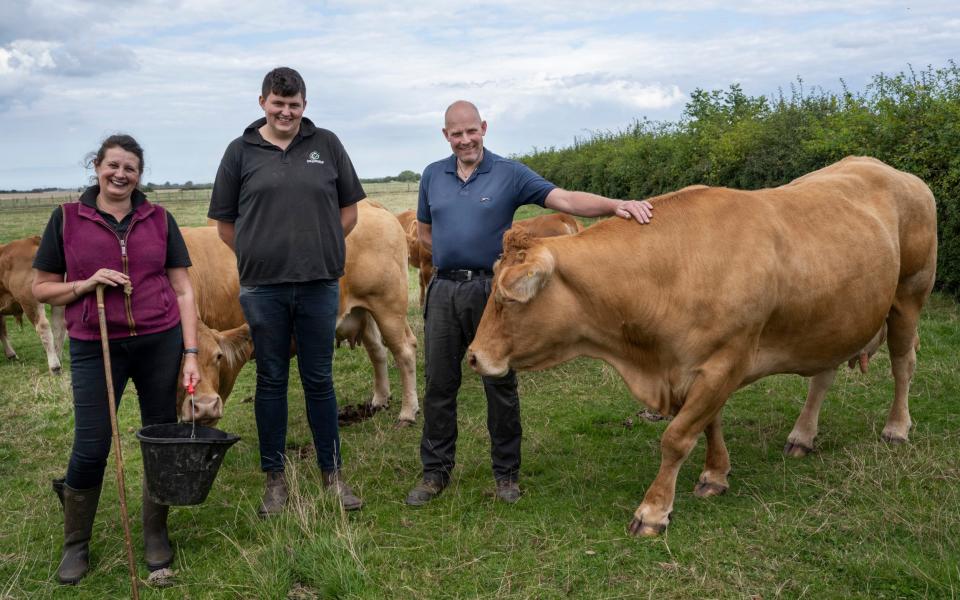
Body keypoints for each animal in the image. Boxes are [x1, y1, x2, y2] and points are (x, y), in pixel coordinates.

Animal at [0, 236, 65, 372]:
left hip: (29, 301)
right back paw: (58, 357)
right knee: (59, 324)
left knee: (43, 326)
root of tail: (32, 240)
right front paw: (11, 354)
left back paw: (54, 365)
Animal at [182, 202, 418, 426]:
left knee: (404, 351)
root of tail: (372, 207)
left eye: (217, 356)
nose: (202, 405)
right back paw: (380, 400)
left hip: (389, 308)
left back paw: (407, 412)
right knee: (378, 350)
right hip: (365, 311)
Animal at [466, 157, 936, 536]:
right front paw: (715, 474)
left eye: (508, 299)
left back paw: (897, 427)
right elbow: (709, 424)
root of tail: (893, 171)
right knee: (823, 375)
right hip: (832, 319)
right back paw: (803, 435)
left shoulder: (726, 360)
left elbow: (677, 437)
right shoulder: (696, 369)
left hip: (909, 296)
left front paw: (654, 511)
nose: (473, 356)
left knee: (903, 364)